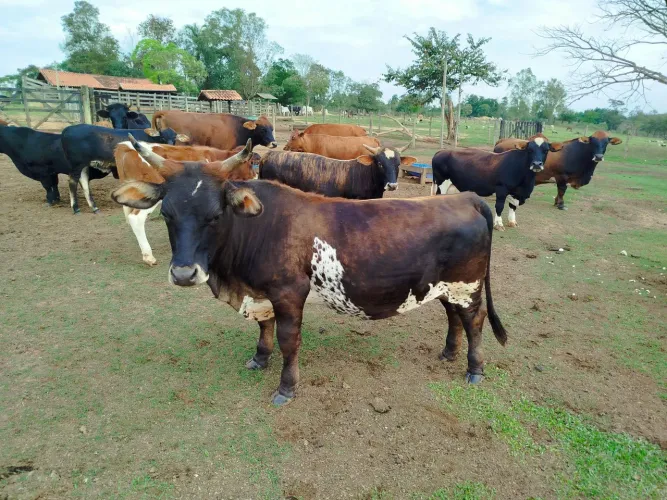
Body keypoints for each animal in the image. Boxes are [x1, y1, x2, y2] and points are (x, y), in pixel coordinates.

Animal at [60, 124, 189, 213]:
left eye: (175, 138)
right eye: (162, 137)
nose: (169, 145)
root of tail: (67, 129)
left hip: (84, 165)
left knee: (84, 182)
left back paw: (94, 207)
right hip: (77, 165)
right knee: (73, 182)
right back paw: (75, 208)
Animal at [111, 151, 507, 406]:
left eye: (215, 215)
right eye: (168, 214)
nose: (183, 273)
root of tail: (467, 199)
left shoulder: (289, 292)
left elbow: (288, 340)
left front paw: (286, 388)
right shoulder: (262, 292)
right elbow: (264, 327)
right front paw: (259, 358)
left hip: (467, 285)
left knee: (474, 321)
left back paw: (474, 368)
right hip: (446, 287)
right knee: (453, 317)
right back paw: (448, 353)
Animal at [432, 135, 563, 230]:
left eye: (546, 150)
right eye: (529, 150)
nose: (537, 164)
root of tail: (441, 152)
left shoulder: (516, 193)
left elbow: (512, 206)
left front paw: (512, 221)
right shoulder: (501, 189)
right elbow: (499, 206)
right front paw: (499, 224)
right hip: (441, 182)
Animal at [494, 131, 622, 210]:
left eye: (606, 143)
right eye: (593, 142)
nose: (598, 156)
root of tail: (502, 140)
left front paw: (556, 202)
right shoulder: (562, 176)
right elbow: (562, 190)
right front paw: (560, 204)